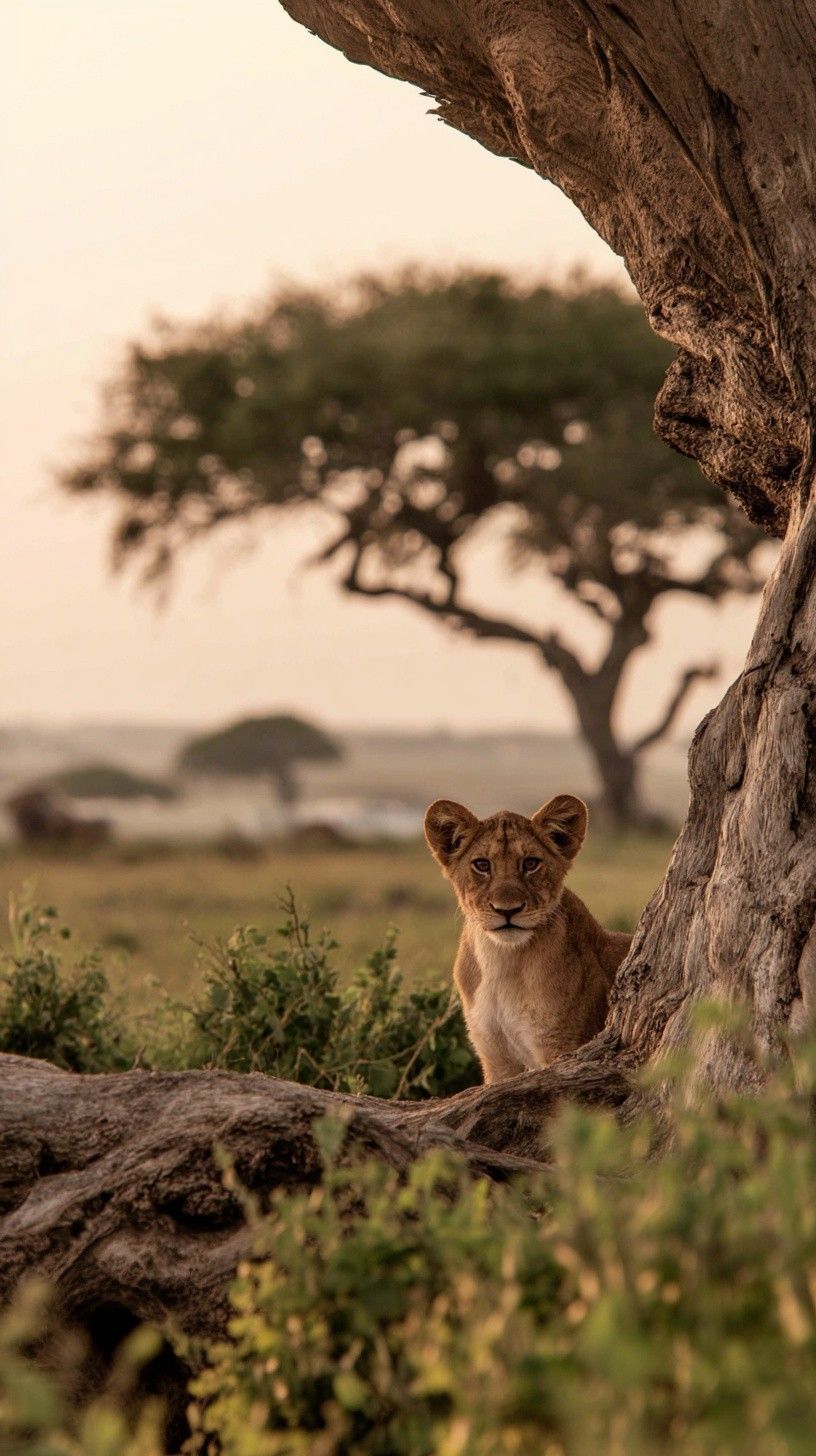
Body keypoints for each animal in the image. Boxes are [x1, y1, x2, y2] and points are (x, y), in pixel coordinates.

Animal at [424, 794, 631, 1084]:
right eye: (482, 865)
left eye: (531, 863)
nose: (507, 910)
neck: (502, 961)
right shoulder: (496, 1057)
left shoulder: (560, 1047)